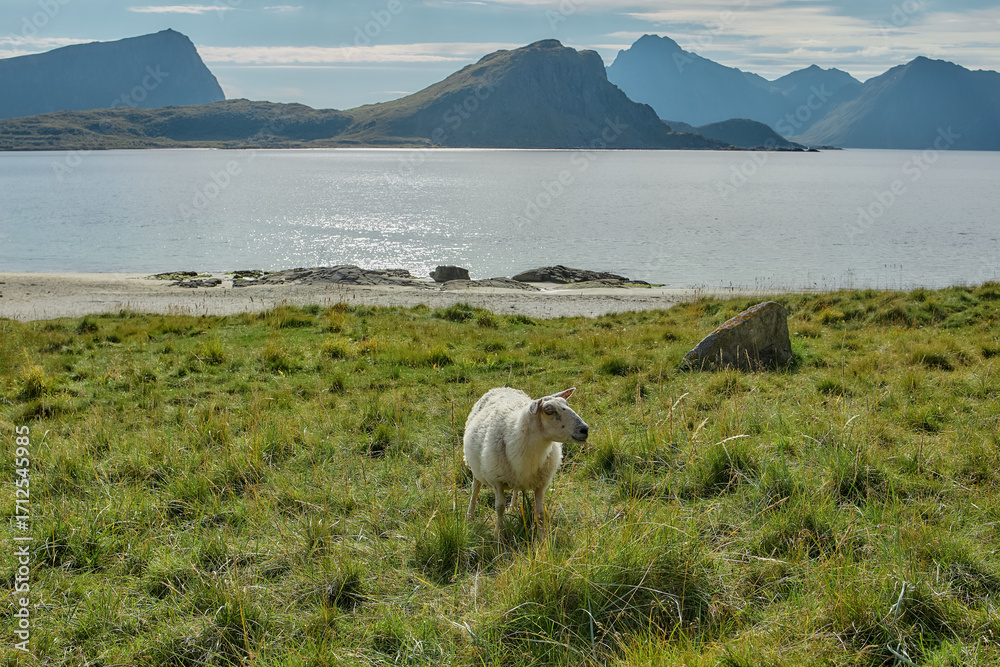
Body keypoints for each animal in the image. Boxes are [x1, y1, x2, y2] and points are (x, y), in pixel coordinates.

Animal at [463, 387, 589, 540]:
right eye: (548, 410)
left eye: (566, 403)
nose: (585, 429)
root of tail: (502, 387)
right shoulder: (497, 480)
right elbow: (499, 508)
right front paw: (498, 536)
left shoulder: (541, 484)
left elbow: (540, 513)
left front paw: (543, 539)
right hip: (475, 466)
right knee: (475, 489)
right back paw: (470, 517)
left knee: (516, 489)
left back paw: (513, 507)